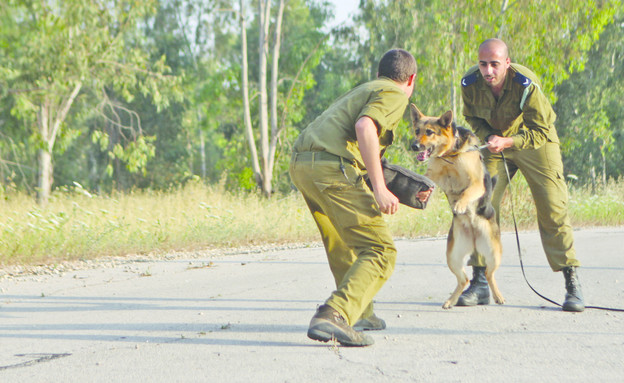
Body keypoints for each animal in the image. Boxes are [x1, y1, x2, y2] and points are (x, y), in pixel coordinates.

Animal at [412, 104, 504, 308]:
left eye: (429, 132)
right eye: (417, 131)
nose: (413, 146)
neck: (450, 155)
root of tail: (474, 238)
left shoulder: (476, 183)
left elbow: (466, 193)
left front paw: (461, 204)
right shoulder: (432, 175)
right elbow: (426, 180)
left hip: (493, 254)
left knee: (489, 273)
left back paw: (498, 296)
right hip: (453, 257)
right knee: (464, 279)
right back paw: (451, 300)